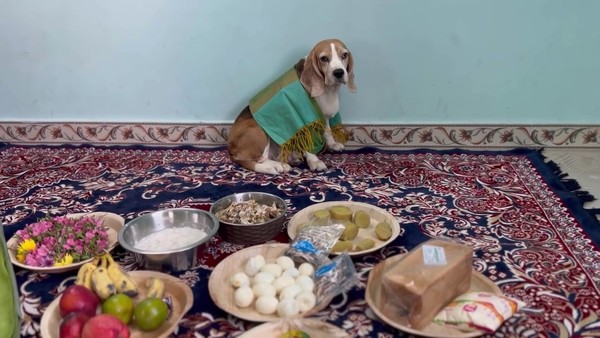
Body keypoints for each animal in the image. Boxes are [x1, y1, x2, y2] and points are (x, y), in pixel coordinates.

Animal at [227, 39, 354, 174]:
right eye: (324, 58)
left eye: (344, 55)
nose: (339, 72)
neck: (328, 90)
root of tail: (230, 149)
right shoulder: (301, 118)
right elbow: (308, 142)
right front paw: (315, 161)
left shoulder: (322, 115)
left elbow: (327, 130)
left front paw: (332, 144)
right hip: (257, 129)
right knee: (256, 160)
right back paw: (277, 166)